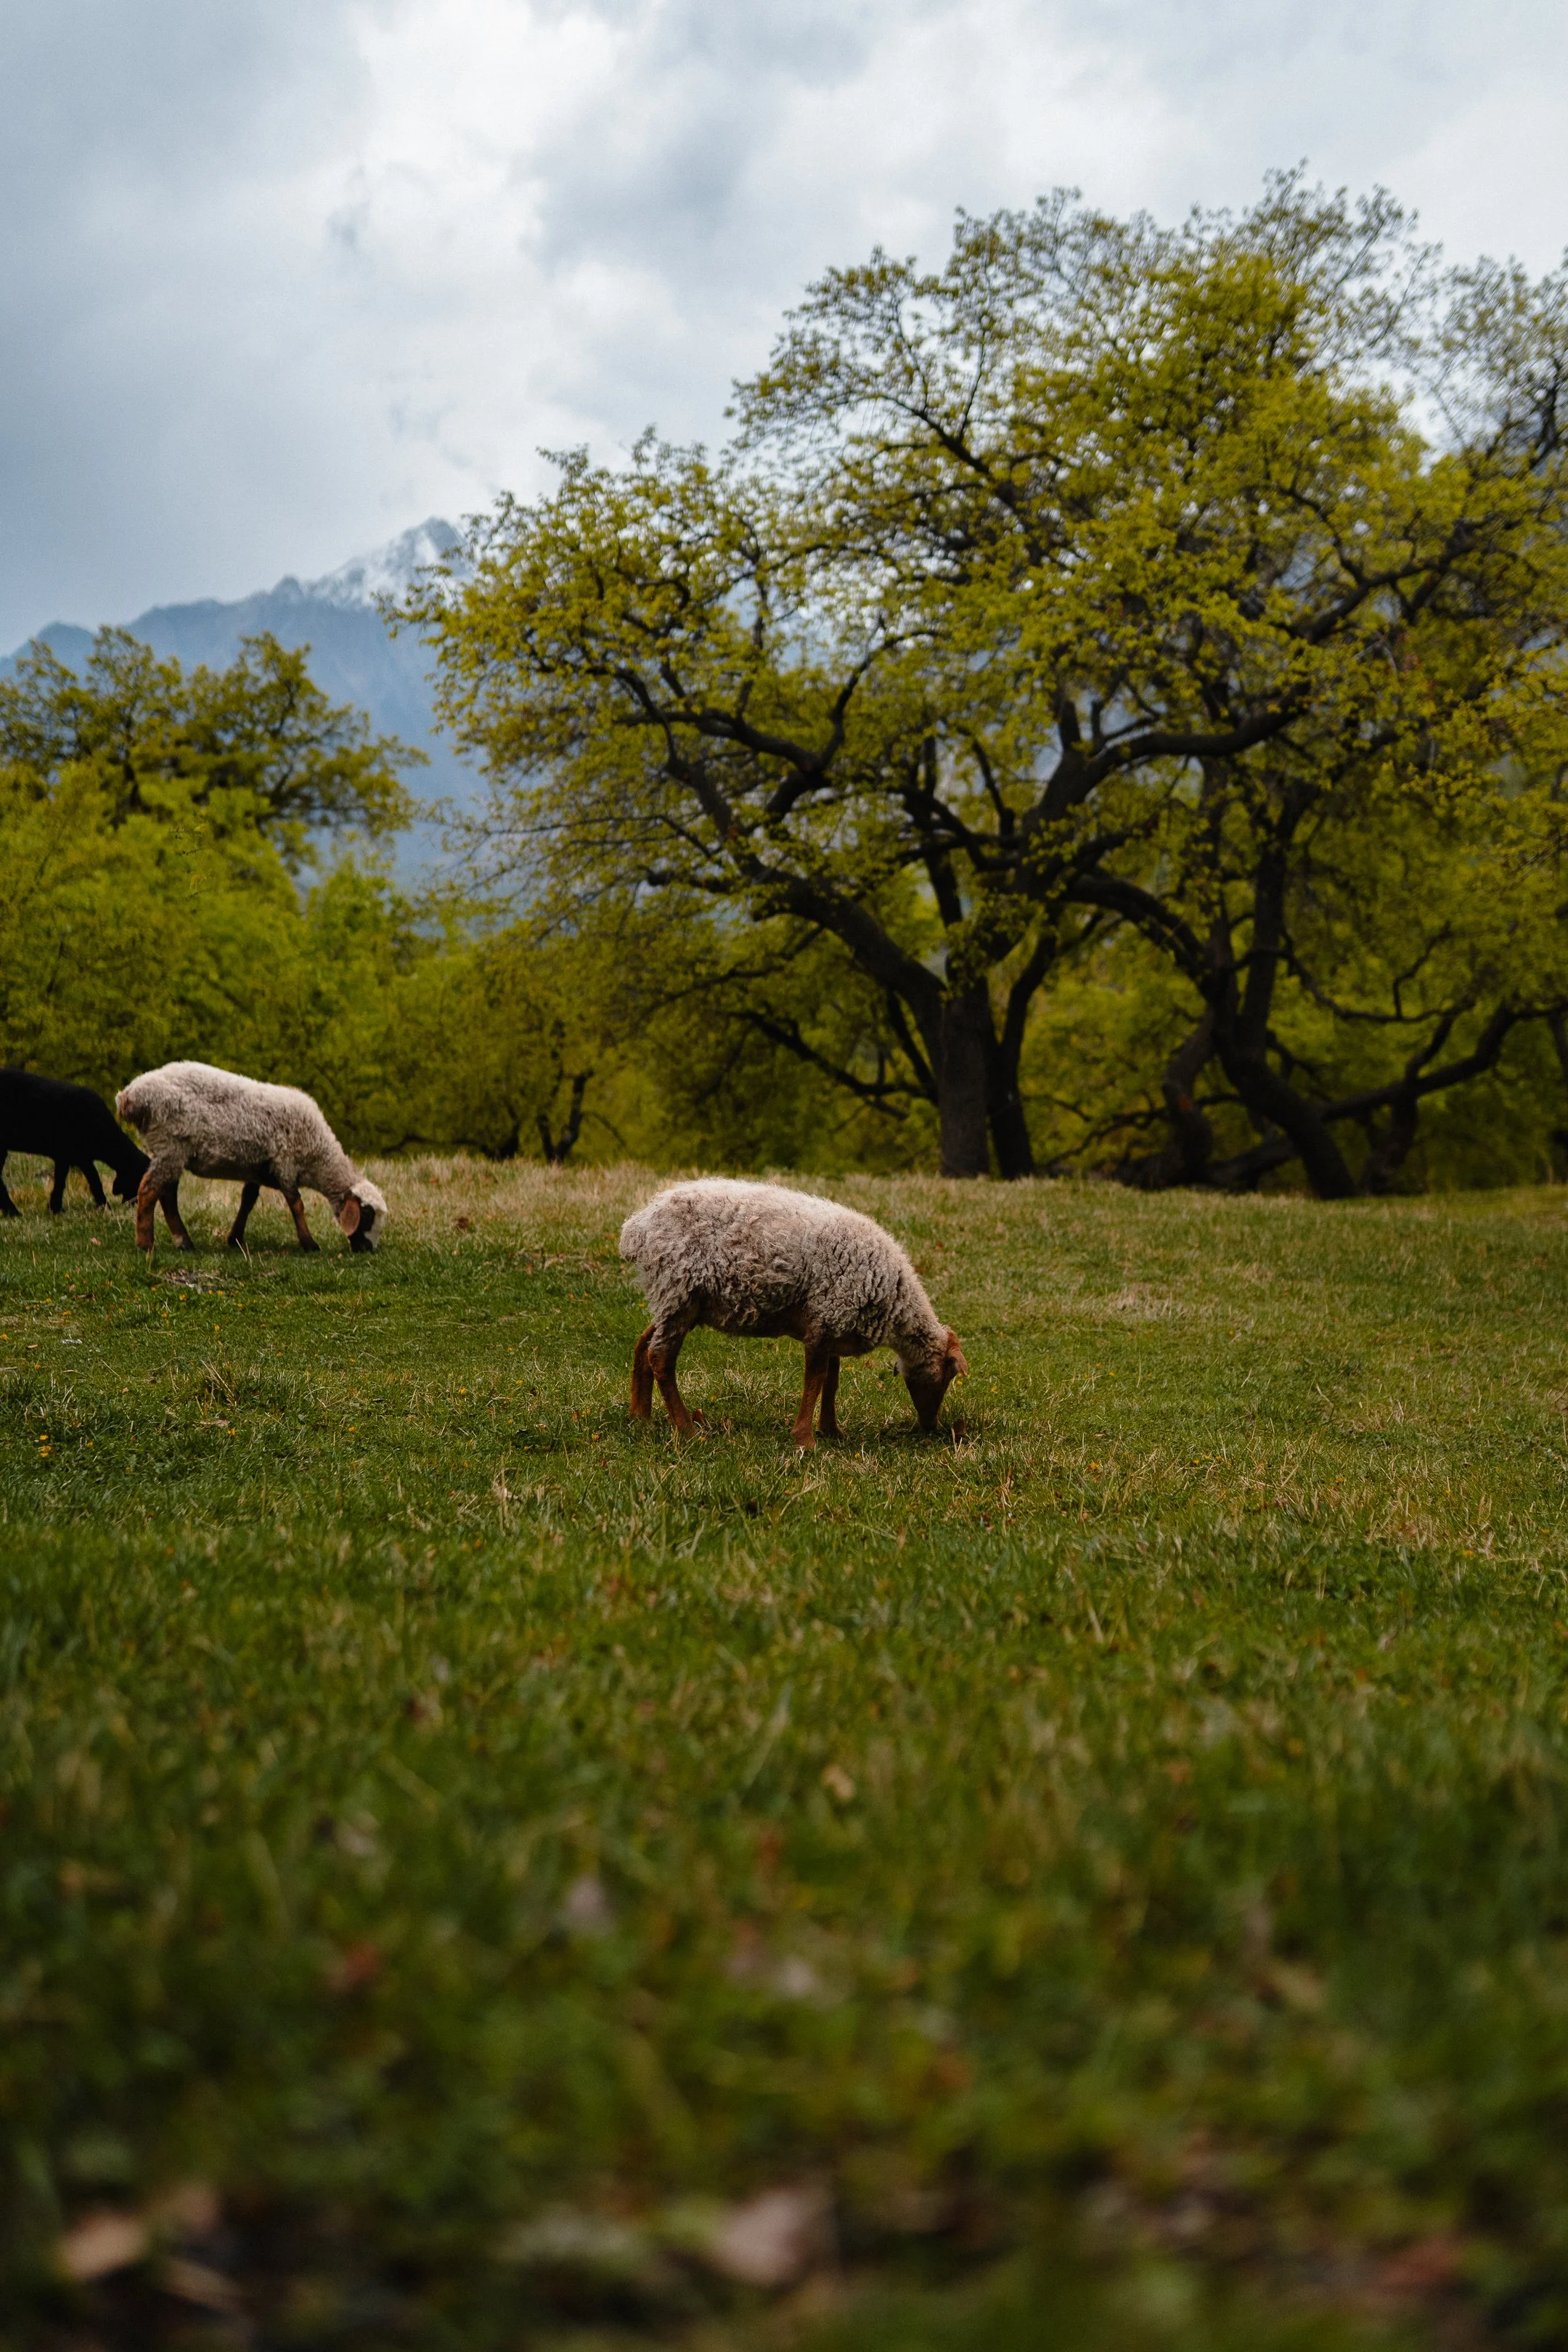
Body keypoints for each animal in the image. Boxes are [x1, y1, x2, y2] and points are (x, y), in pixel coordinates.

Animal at [0, 1068, 150, 1218]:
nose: (134, 1206)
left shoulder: (67, 1156)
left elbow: (61, 1181)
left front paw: (55, 1208)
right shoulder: (79, 1155)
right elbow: (94, 1180)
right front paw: (105, 1206)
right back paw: (14, 1212)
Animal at [115, 1061, 388, 1255]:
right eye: (367, 1216)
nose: (367, 1250)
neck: (319, 1154)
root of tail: (130, 1095)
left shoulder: (258, 1168)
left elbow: (248, 1200)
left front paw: (235, 1238)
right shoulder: (285, 1162)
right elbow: (296, 1204)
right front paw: (309, 1243)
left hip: (172, 1151)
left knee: (167, 1194)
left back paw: (183, 1241)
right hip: (170, 1145)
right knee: (149, 1190)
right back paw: (146, 1243)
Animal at [618, 1177, 966, 1448]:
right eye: (946, 1377)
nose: (931, 1426)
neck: (893, 1300)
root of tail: (637, 1228)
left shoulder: (832, 1324)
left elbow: (831, 1380)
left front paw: (831, 1431)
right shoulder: (826, 1323)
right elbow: (815, 1379)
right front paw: (805, 1440)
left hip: (676, 1301)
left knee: (644, 1344)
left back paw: (641, 1417)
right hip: (678, 1289)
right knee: (661, 1357)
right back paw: (687, 1429)